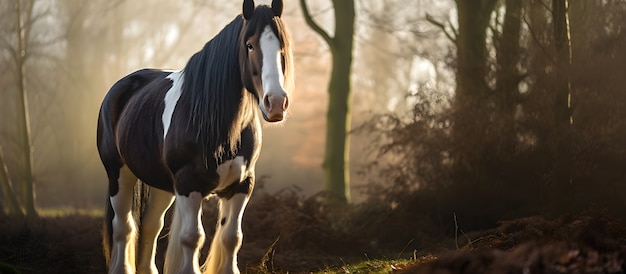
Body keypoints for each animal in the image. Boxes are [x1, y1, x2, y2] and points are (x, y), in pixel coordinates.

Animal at [95, 0, 294, 272]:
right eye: (250, 44)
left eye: (282, 46)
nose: (275, 103)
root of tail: (119, 87)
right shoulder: (189, 184)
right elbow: (192, 238)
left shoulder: (241, 185)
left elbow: (232, 238)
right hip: (119, 174)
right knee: (123, 228)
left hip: (162, 186)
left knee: (150, 226)